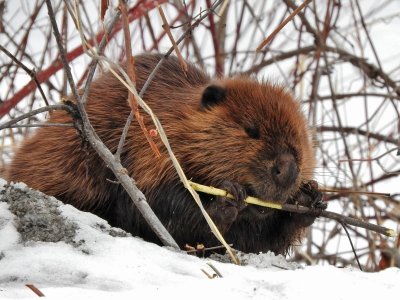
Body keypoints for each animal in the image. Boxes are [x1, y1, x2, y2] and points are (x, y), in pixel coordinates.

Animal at [6, 52, 324, 254]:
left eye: (301, 137)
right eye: (251, 130)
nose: (288, 169)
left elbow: (256, 242)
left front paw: (311, 198)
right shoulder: (148, 148)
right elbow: (157, 208)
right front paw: (228, 198)